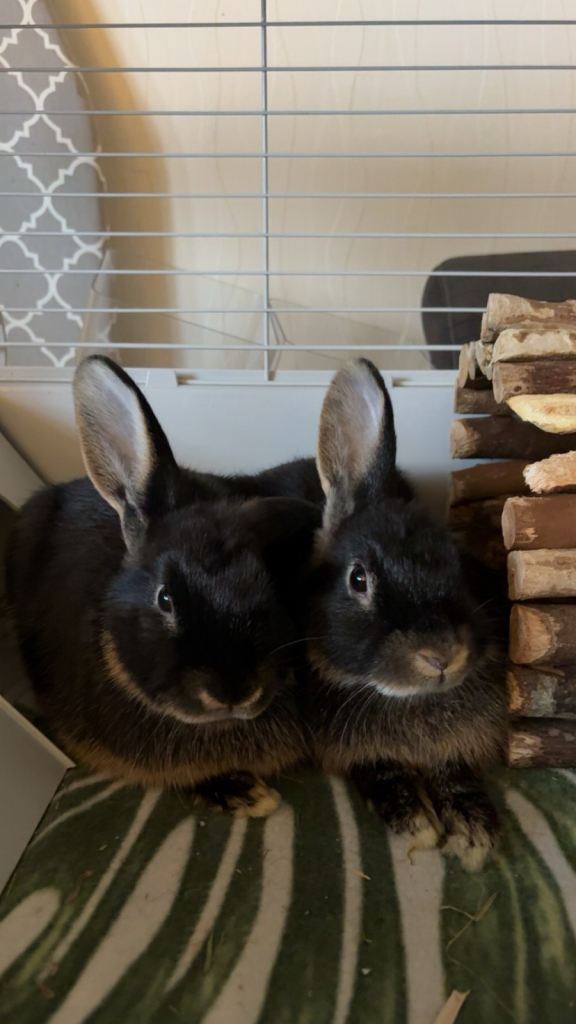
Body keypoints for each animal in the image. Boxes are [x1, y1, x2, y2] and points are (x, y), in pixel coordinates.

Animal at [302, 358, 508, 870]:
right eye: (358, 579)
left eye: (458, 563)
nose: (442, 656)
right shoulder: (356, 754)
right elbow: (384, 774)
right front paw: (416, 824)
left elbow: (454, 772)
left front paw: (473, 830)